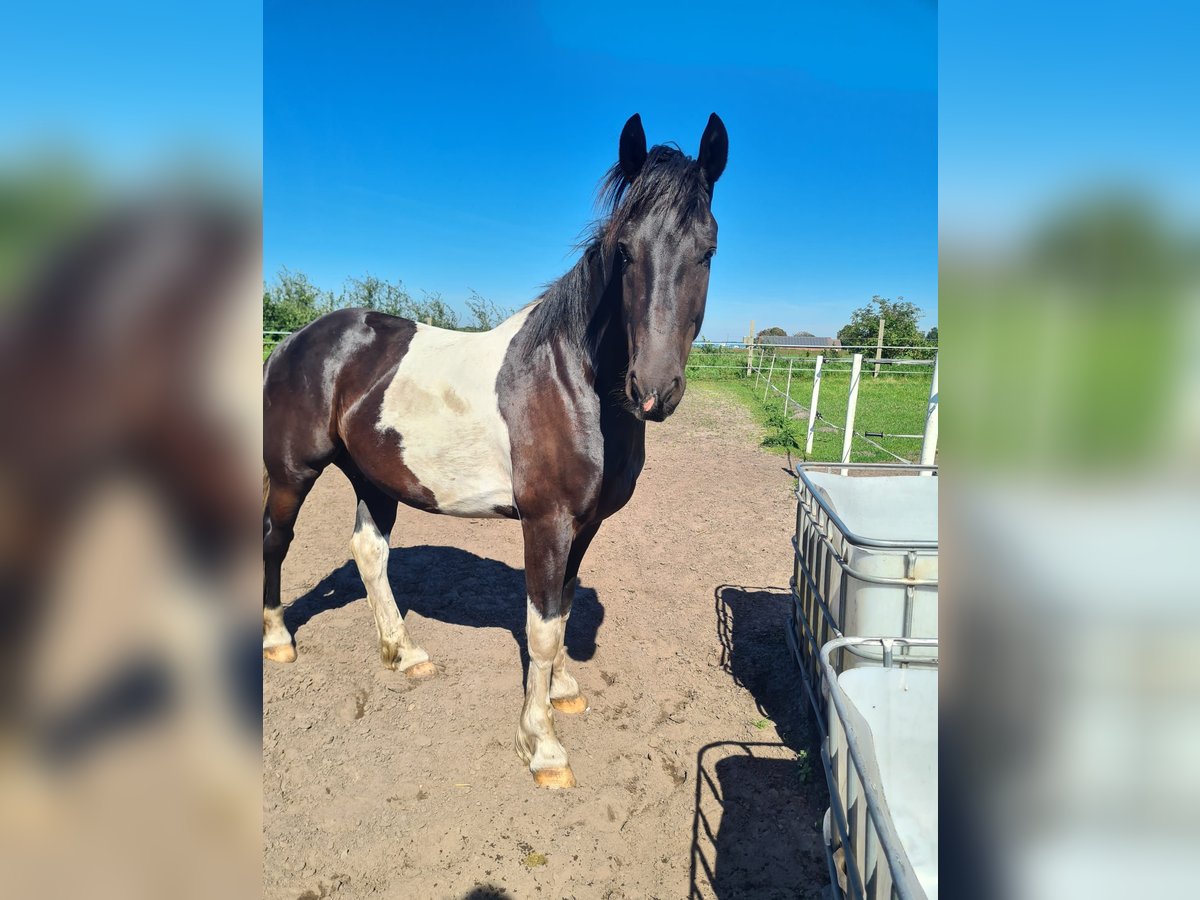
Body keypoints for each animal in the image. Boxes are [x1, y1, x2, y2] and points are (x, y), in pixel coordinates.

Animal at [264, 112, 724, 787]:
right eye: (623, 250)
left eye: (707, 251)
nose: (654, 389)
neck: (569, 378)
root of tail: (292, 341)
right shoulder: (547, 521)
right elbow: (540, 627)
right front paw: (543, 745)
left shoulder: (584, 526)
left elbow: (563, 612)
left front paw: (562, 691)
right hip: (292, 471)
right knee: (276, 539)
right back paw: (278, 640)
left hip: (374, 477)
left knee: (370, 553)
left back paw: (405, 653)